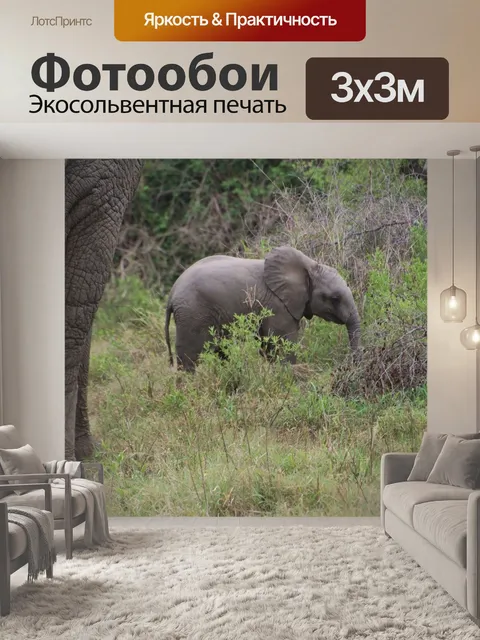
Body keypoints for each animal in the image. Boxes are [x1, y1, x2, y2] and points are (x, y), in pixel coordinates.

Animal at [165, 245, 361, 371]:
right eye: (335, 299)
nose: (347, 367)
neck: (310, 265)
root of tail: (172, 292)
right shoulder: (278, 306)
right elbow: (282, 344)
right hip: (193, 313)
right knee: (190, 356)